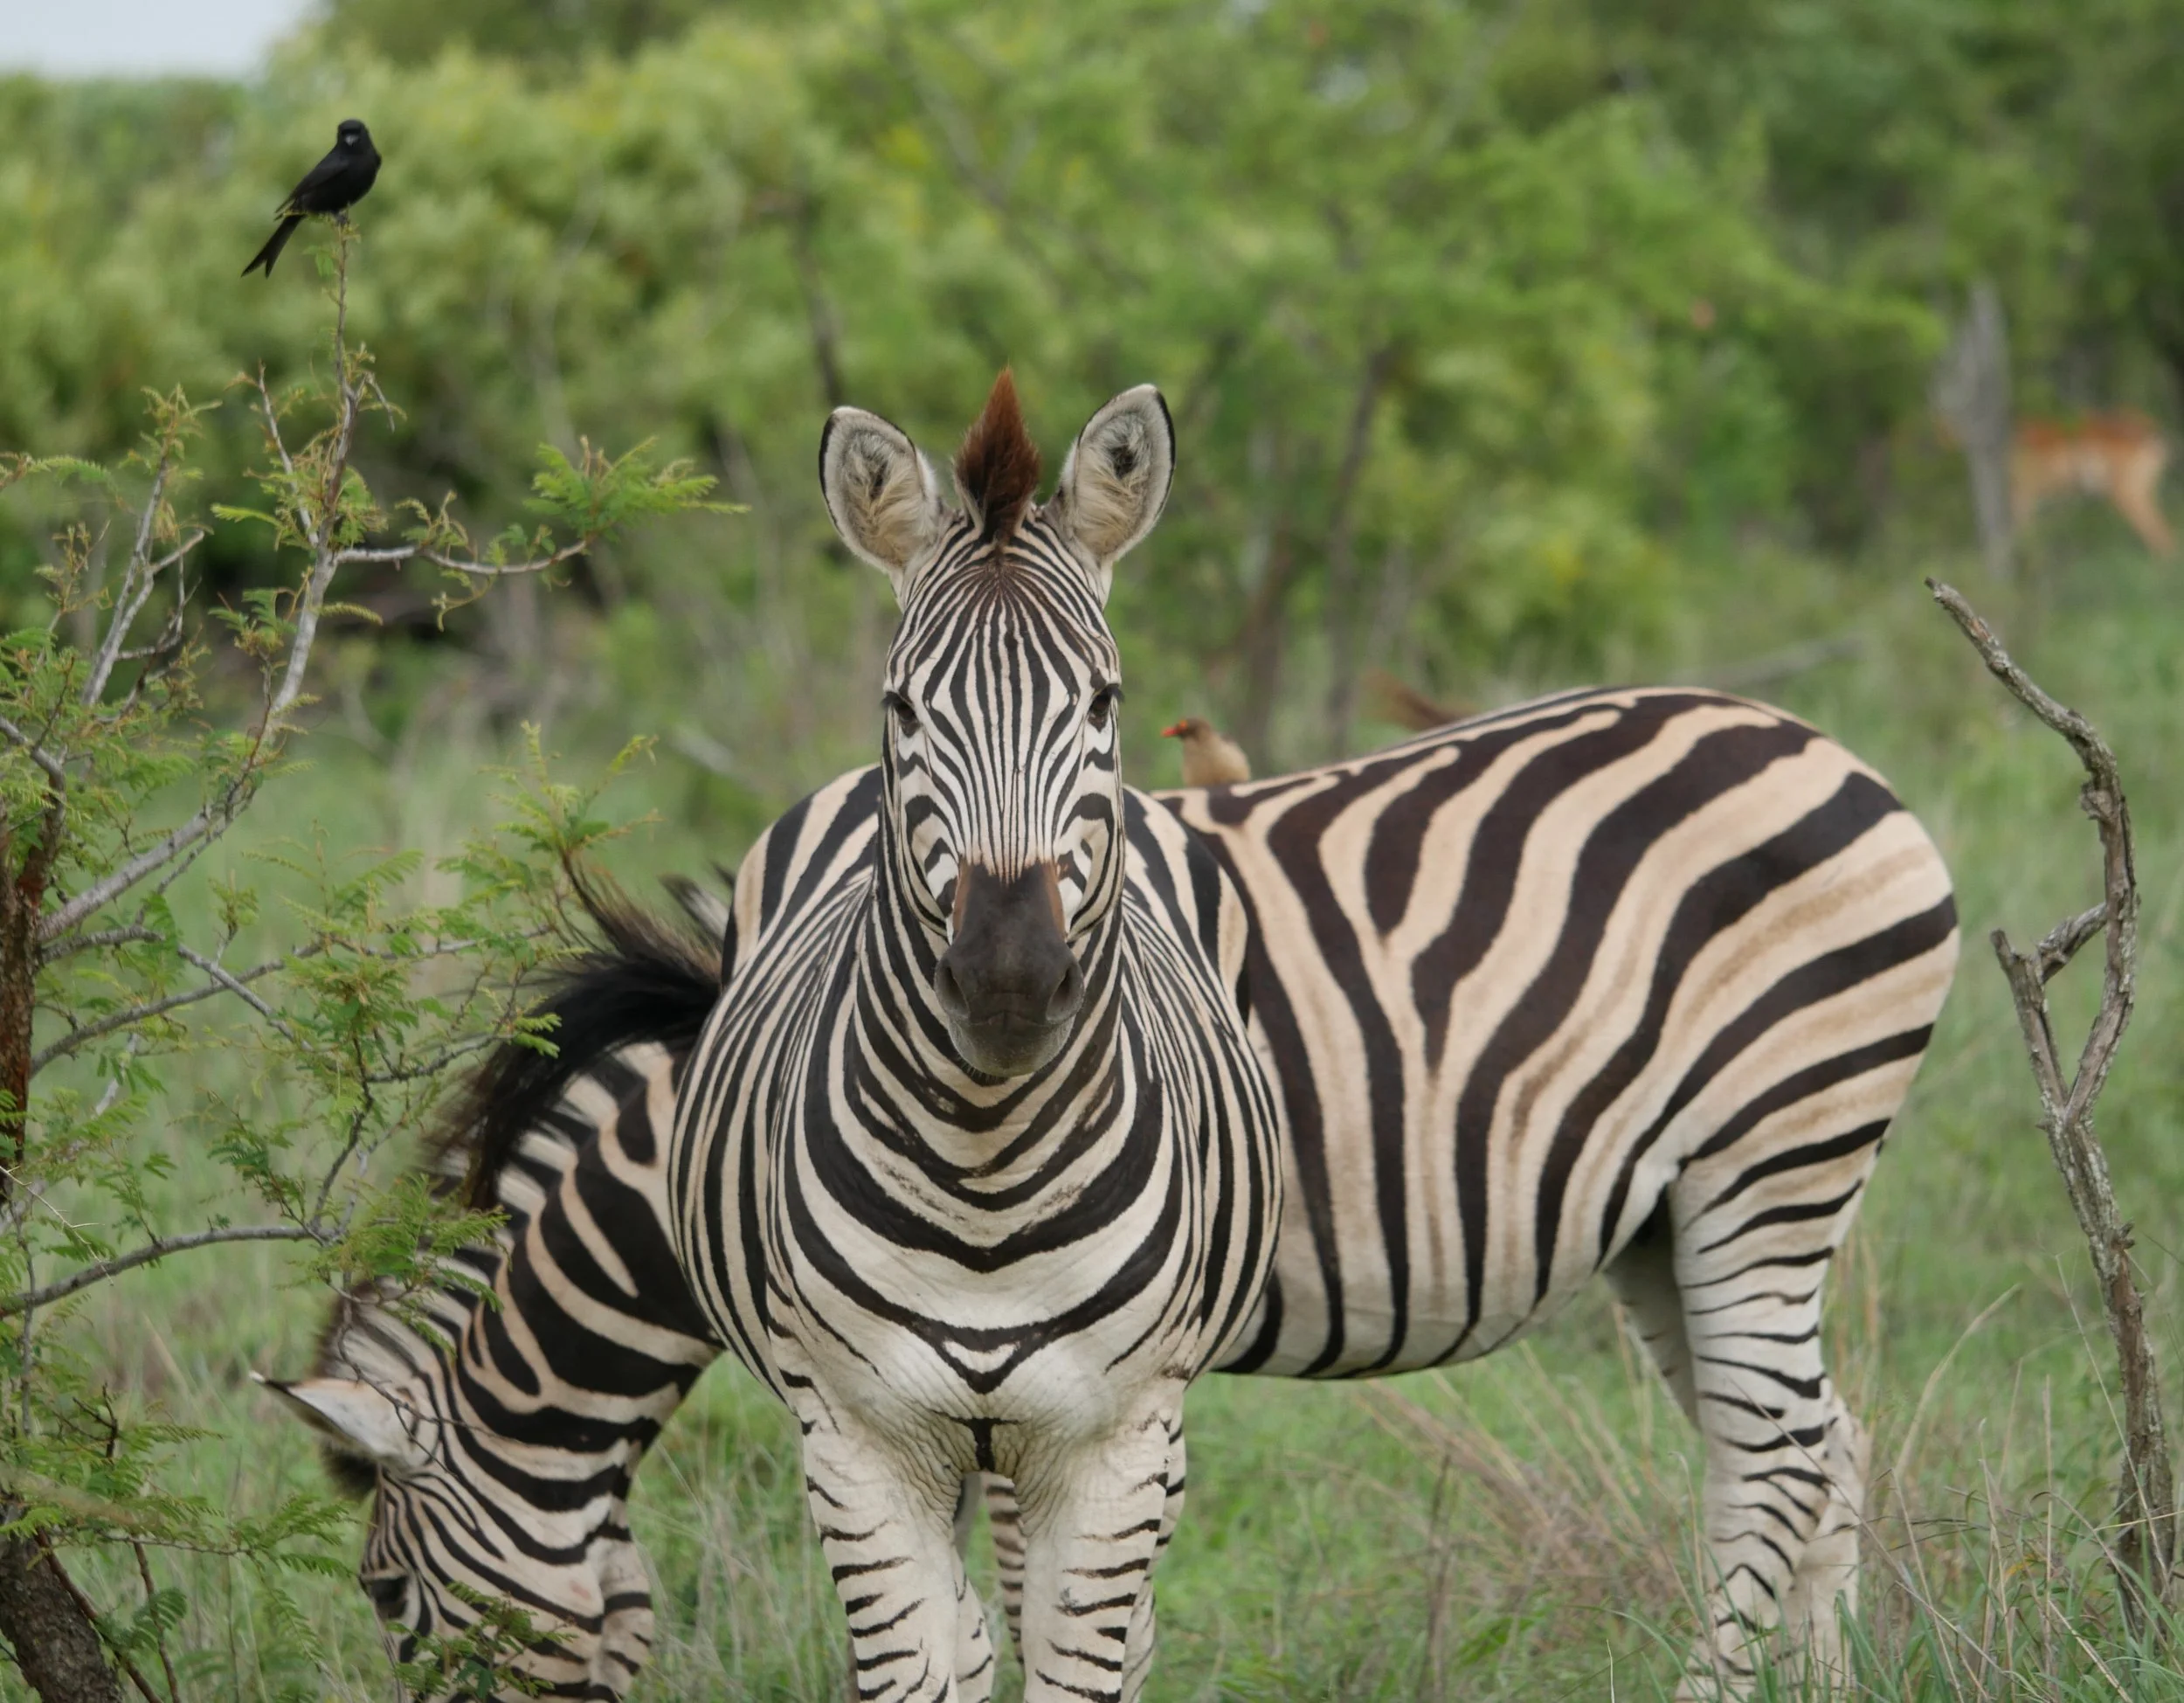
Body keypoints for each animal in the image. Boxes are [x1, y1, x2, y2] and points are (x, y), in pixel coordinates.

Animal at [664, 373, 1285, 1703]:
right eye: (901, 705)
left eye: (1103, 701)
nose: (1008, 976)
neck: (989, 1176)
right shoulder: (857, 1441)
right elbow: (922, 1666)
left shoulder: (1112, 1445)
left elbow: (1082, 1661)